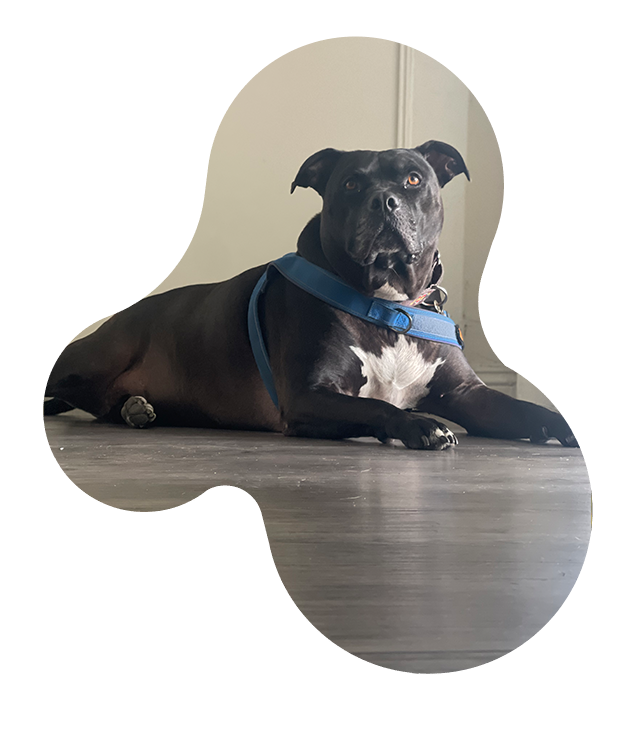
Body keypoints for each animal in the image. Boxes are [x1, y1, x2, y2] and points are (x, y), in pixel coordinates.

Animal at [44, 141, 591, 449]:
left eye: (414, 178)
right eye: (349, 184)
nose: (384, 201)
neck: (387, 307)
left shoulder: (466, 394)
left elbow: (526, 410)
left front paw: (569, 424)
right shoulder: (308, 397)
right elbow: (378, 408)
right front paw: (420, 425)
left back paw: (135, 410)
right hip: (88, 357)